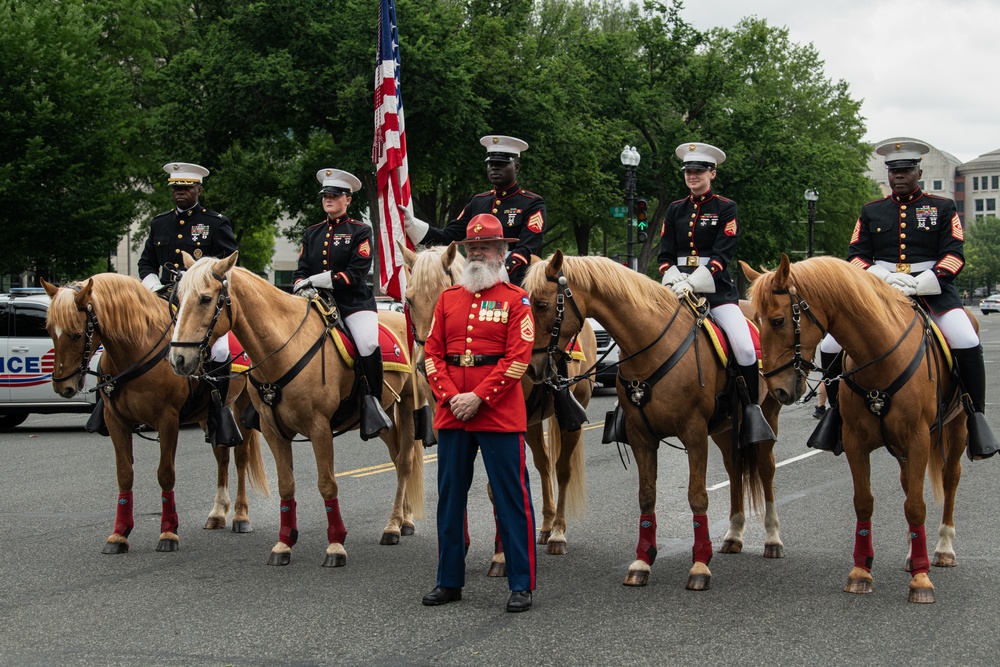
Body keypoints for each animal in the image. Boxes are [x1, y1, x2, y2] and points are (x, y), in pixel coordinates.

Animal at [45, 272, 268, 552]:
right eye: (49, 331)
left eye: (76, 335)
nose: (63, 386)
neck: (136, 350)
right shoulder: (116, 421)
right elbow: (124, 474)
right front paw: (119, 533)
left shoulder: (168, 420)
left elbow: (165, 474)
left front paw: (168, 531)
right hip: (208, 414)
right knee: (222, 457)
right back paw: (218, 512)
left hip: (240, 406)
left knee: (240, 457)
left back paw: (240, 515)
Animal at [172, 253, 422, 568]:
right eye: (178, 298)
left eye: (205, 299)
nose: (178, 358)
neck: (283, 348)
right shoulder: (273, 431)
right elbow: (286, 485)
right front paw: (284, 543)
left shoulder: (319, 428)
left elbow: (327, 484)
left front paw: (335, 545)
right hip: (383, 417)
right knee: (398, 457)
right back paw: (404, 520)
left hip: (407, 405)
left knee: (405, 462)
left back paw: (393, 526)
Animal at [524, 250, 780, 588]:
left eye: (541, 304)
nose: (531, 368)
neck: (652, 347)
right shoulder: (641, 437)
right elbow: (646, 496)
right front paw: (642, 561)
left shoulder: (694, 434)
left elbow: (697, 496)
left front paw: (700, 564)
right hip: (724, 428)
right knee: (735, 468)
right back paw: (734, 535)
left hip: (765, 416)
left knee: (765, 469)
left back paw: (772, 538)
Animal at [752, 256, 968, 604]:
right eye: (755, 320)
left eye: (777, 320)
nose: (777, 390)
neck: (880, 357)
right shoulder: (856, 442)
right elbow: (865, 501)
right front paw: (861, 571)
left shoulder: (918, 440)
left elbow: (916, 506)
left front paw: (921, 581)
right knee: (909, 484)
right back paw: (913, 555)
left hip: (955, 429)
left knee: (950, 480)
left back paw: (942, 548)